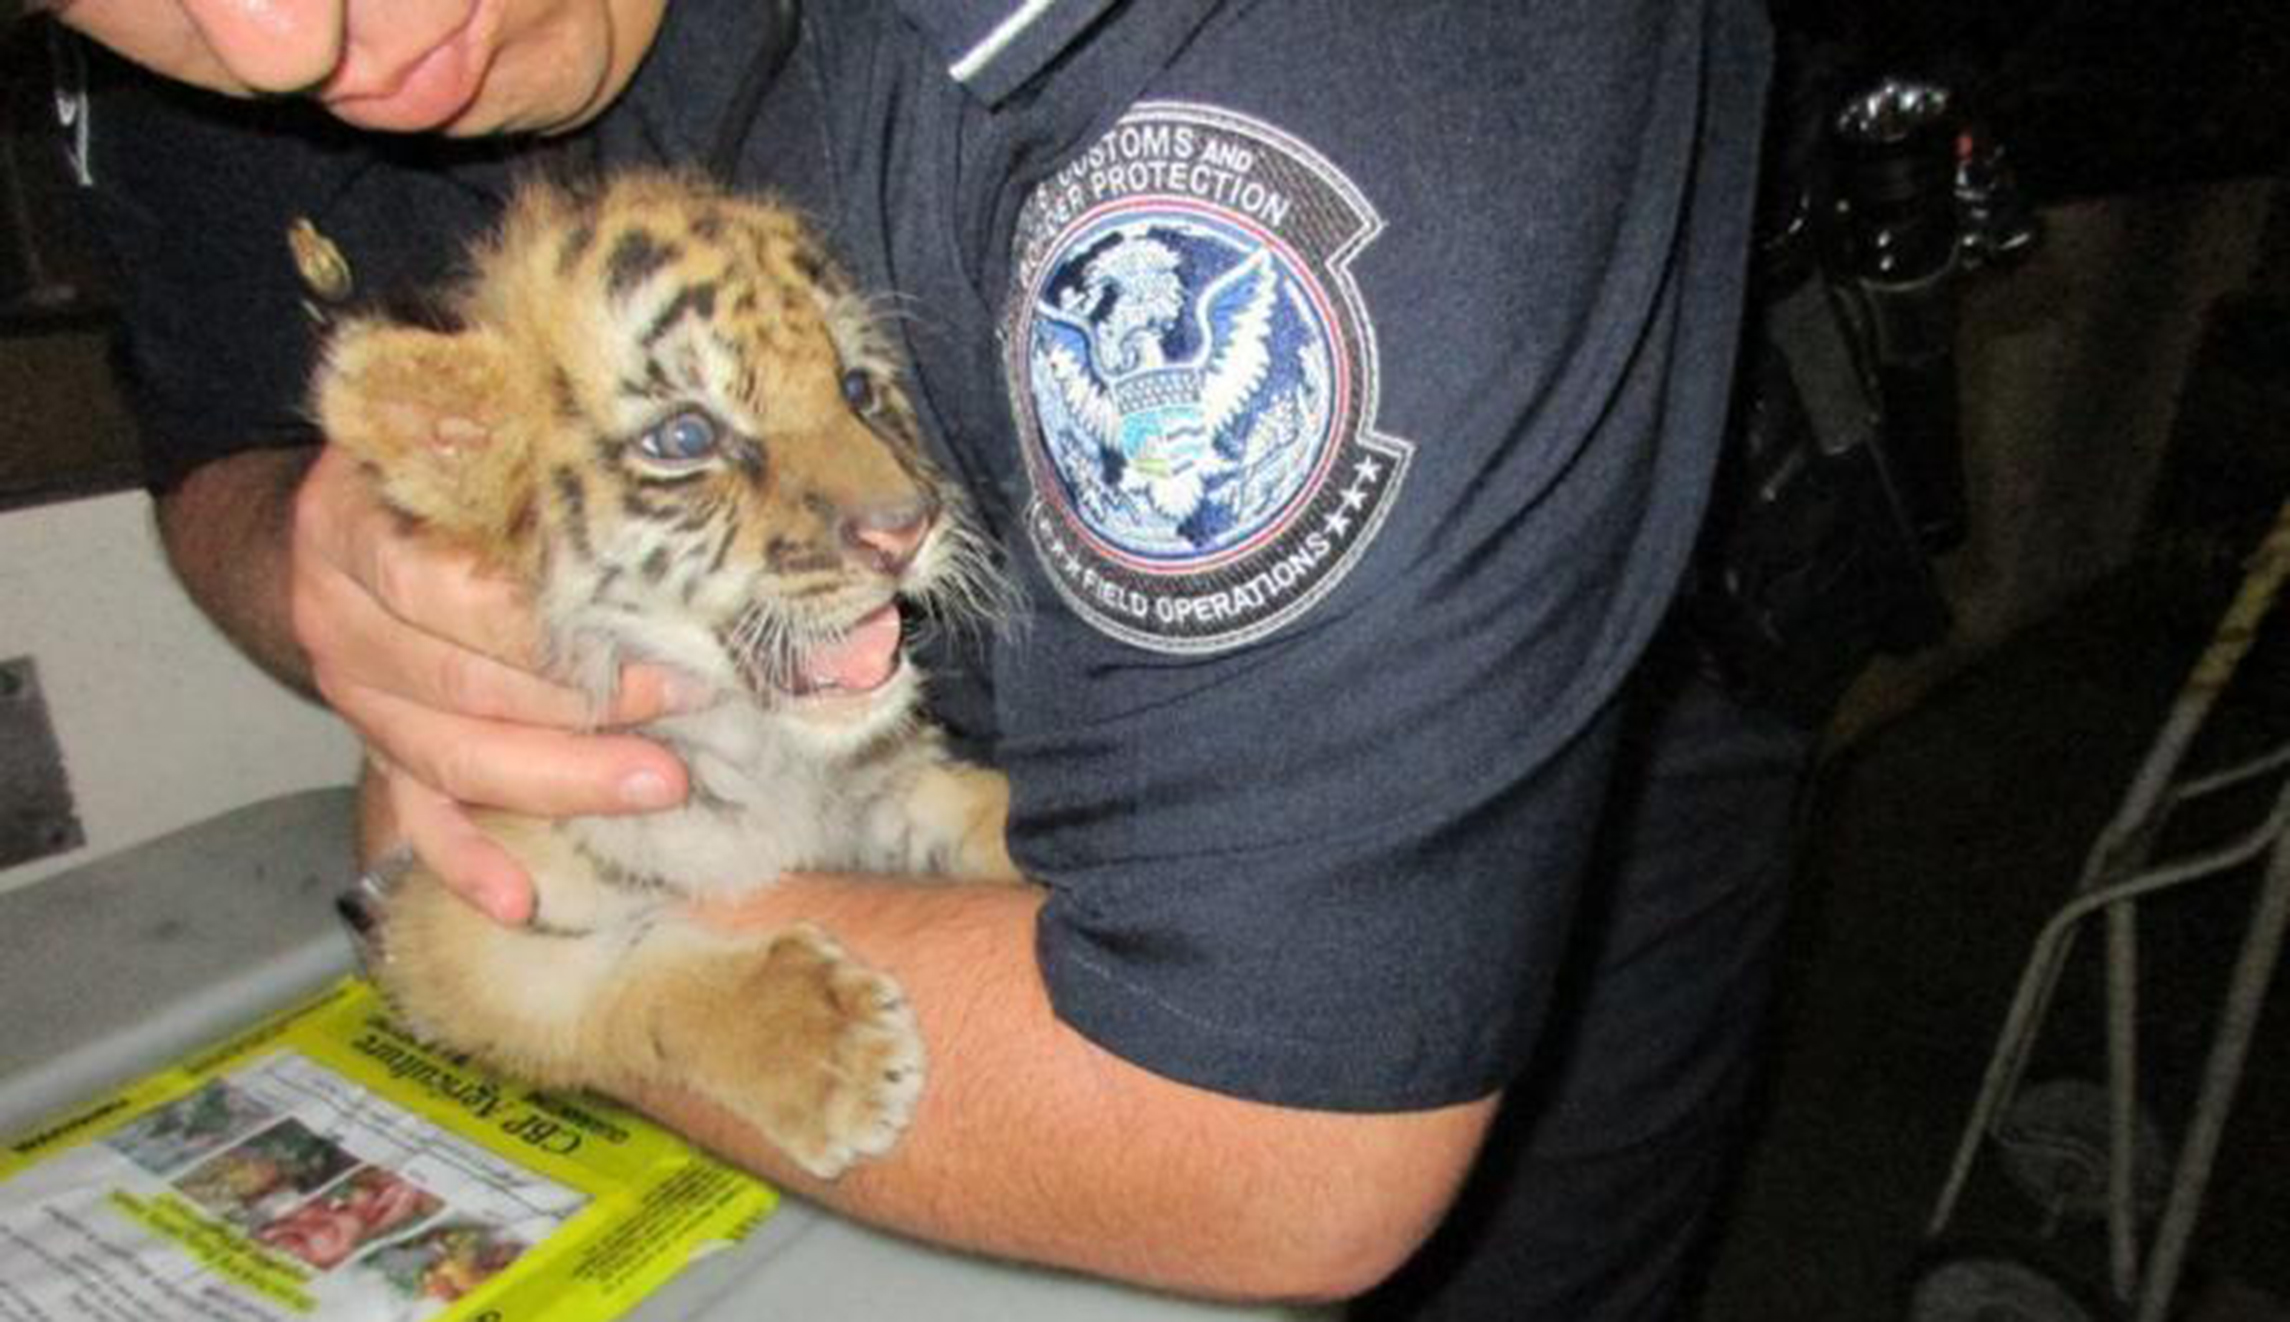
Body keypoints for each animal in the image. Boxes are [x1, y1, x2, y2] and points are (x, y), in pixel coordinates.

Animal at [318, 171, 1018, 1180]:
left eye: (855, 388)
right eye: (686, 436)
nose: (906, 526)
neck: (758, 752)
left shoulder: (879, 792)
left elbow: (974, 811)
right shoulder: (458, 925)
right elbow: (631, 985)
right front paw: (831, 1052)